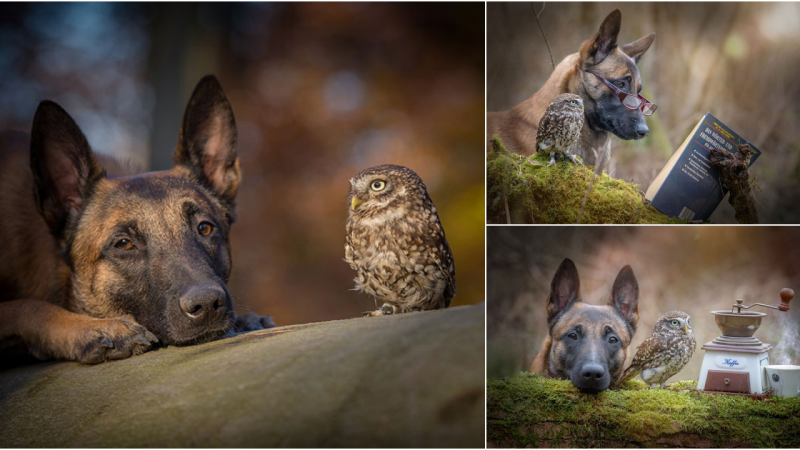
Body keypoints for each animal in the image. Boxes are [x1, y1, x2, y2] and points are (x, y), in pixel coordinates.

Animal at [0, 75, 274, 364]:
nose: (208, 305)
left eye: (205, 228)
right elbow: (27, 307)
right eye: (124, 243)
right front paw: (94, 328)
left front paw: (246, 319)